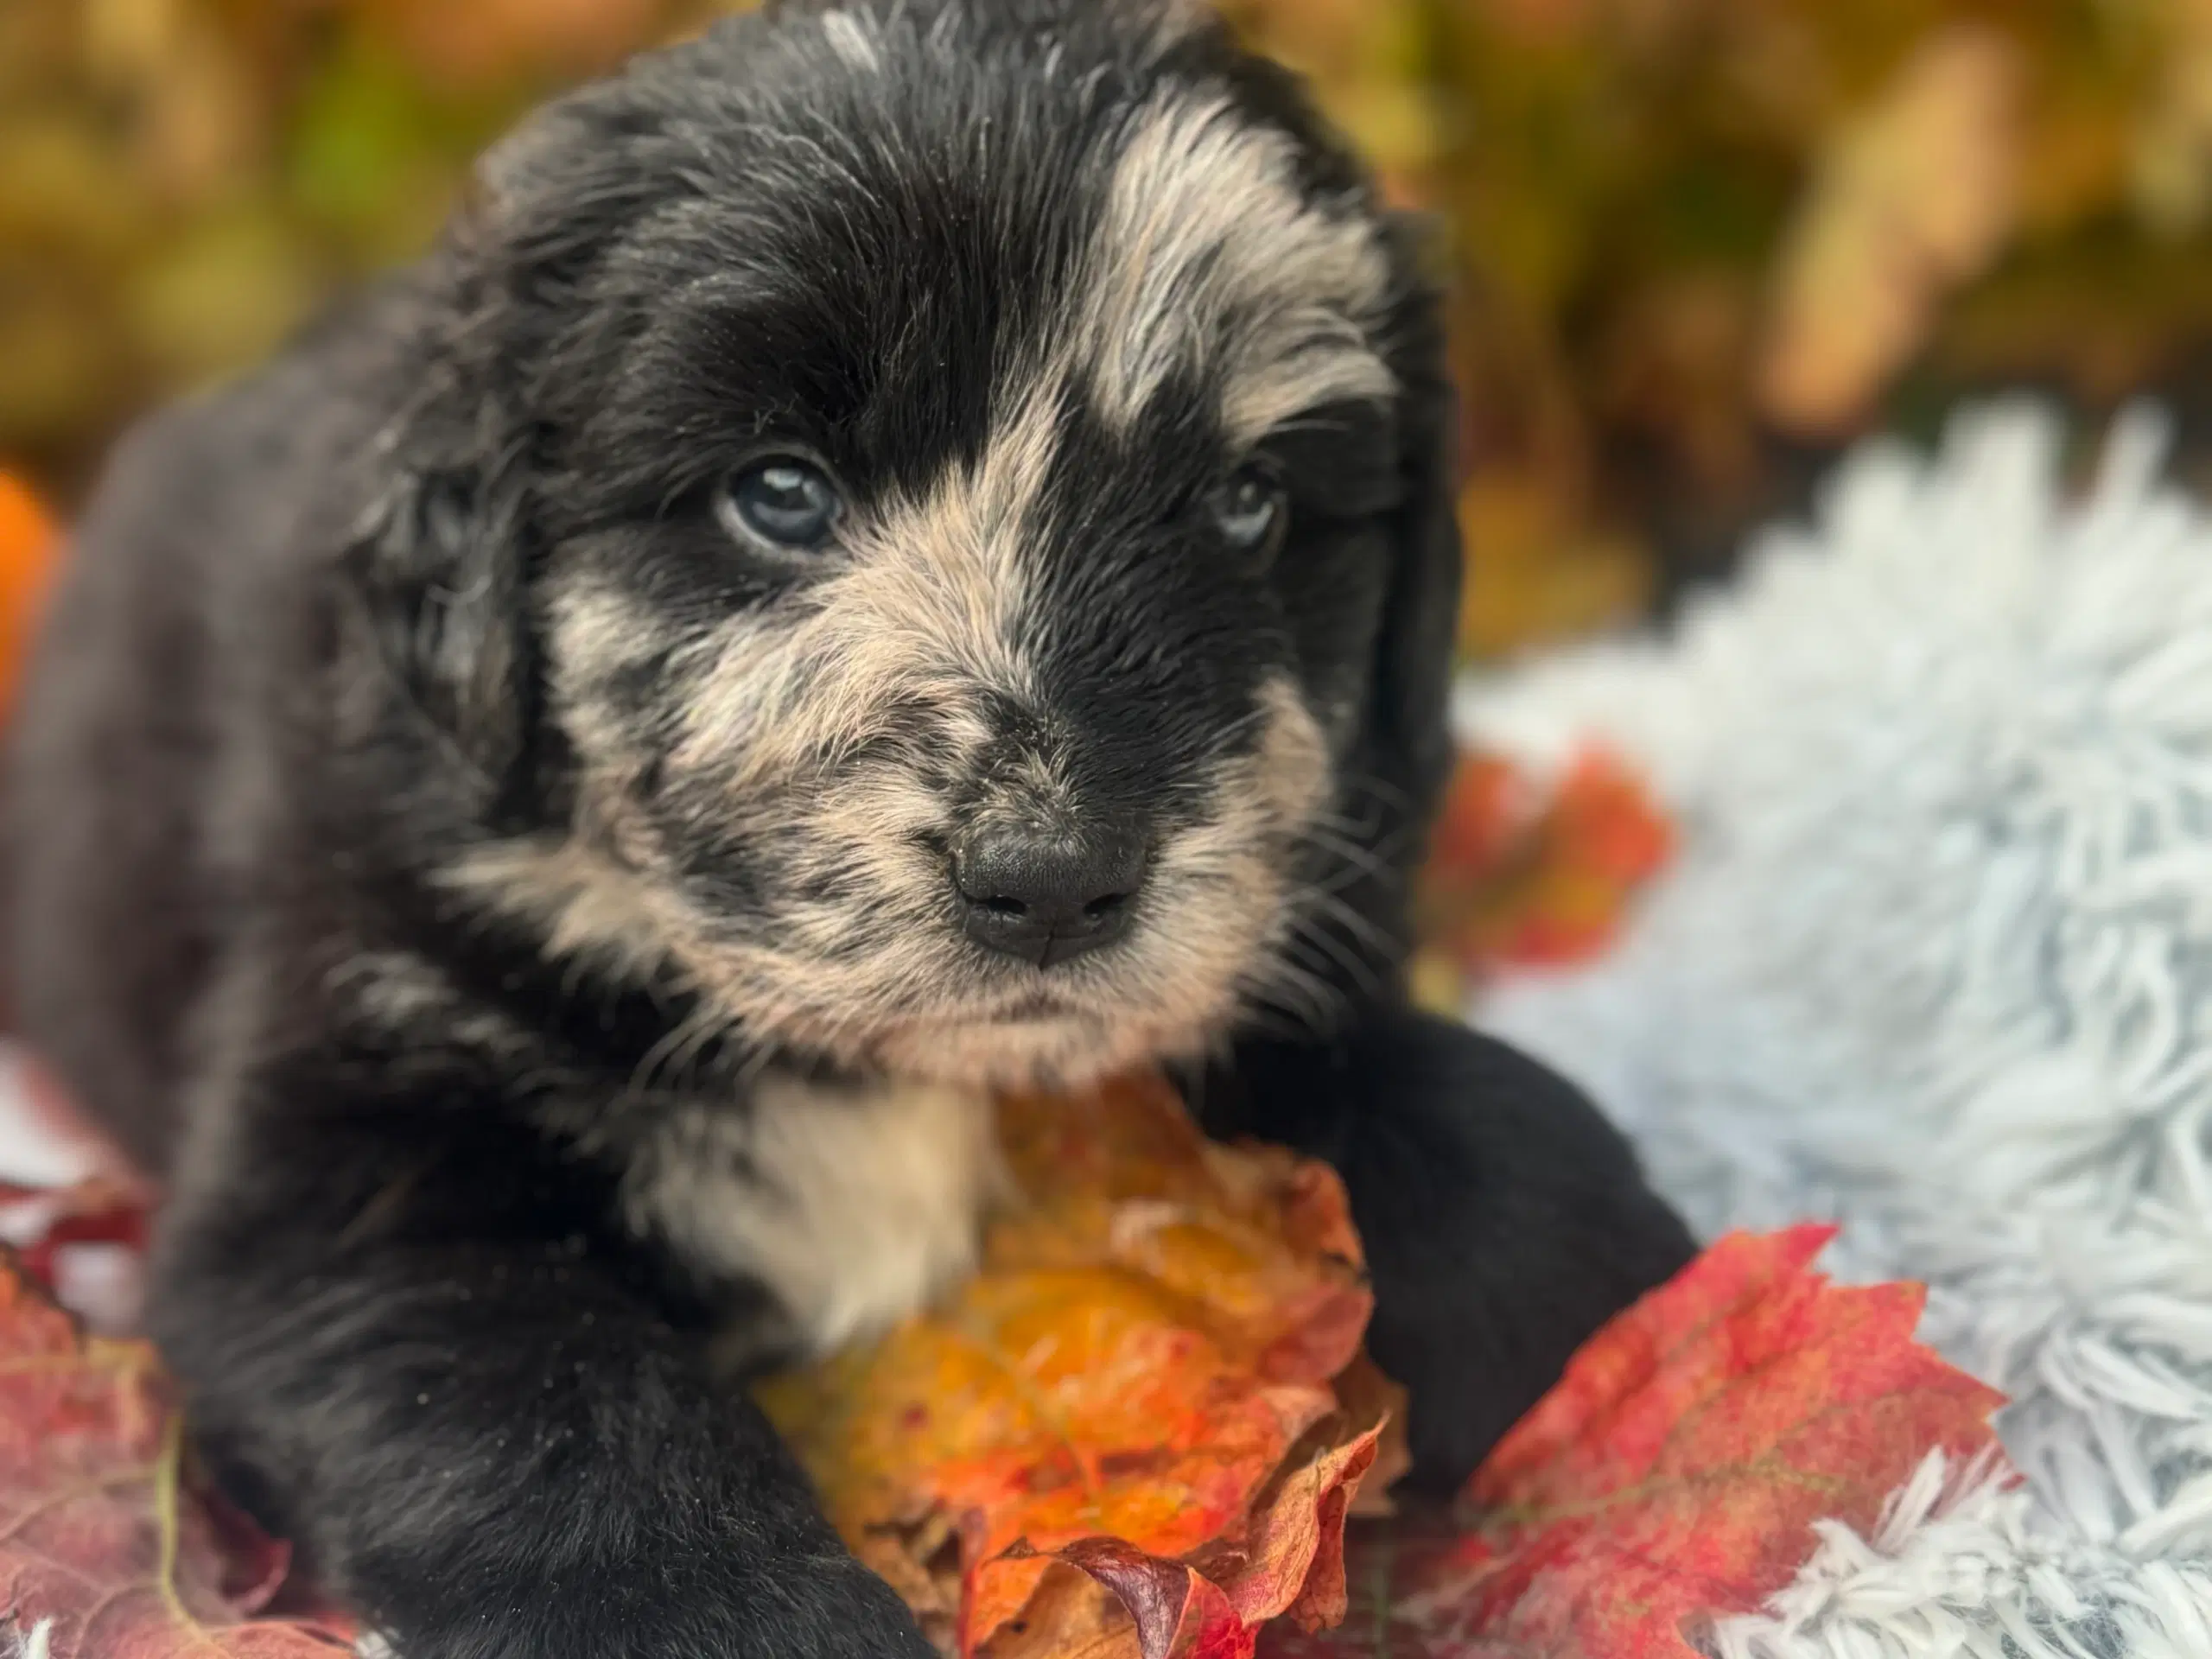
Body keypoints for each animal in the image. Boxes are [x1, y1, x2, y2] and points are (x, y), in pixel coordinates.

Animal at [4, 6, 1689, 1654]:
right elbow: (557, 1410)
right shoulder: (354, 1153)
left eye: (1248, 504)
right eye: (780, 492)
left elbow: (1456, 1126)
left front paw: (1610, 1304)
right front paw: (738, 1611)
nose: (1054, 880)